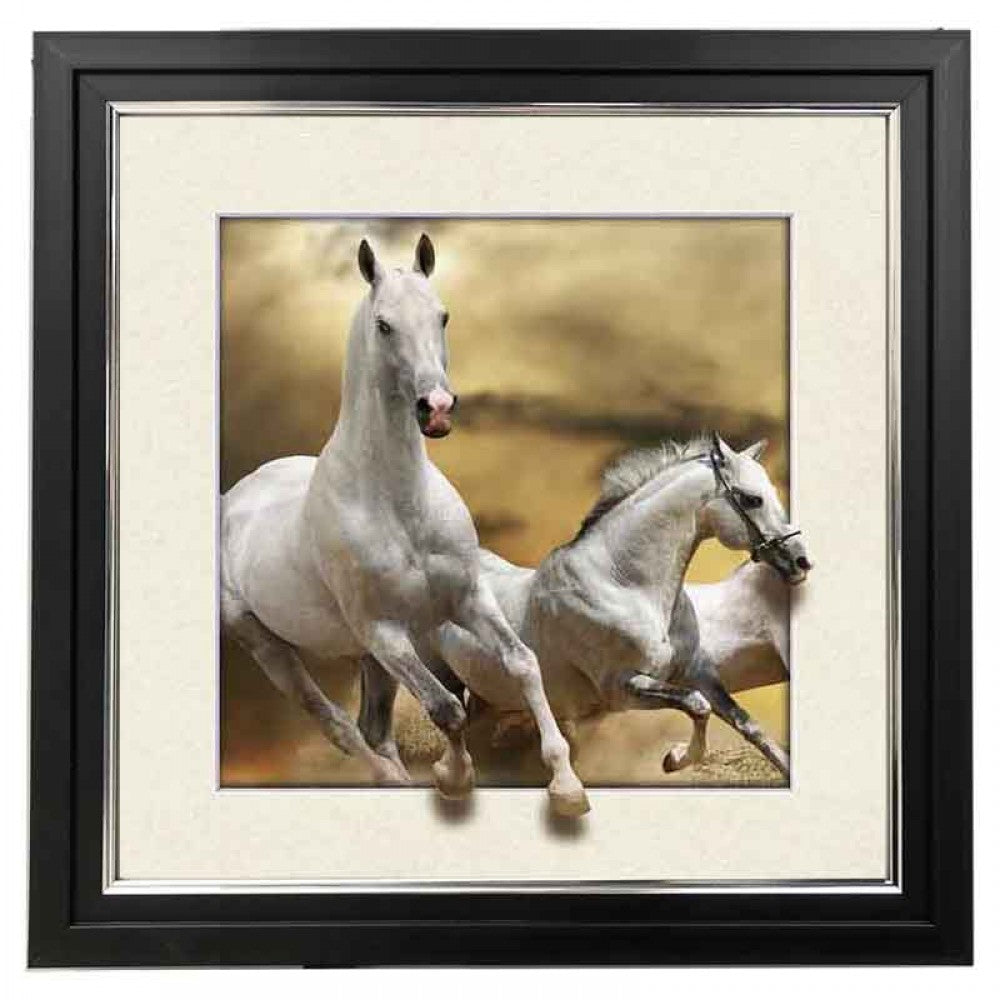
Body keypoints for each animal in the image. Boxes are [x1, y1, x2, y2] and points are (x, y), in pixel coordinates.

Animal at [221, 234, 588, 816]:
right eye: (384, 325)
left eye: (443, 315)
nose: (435, 408)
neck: (399, 505)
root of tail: (232, 499)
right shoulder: (387, 631)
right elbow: (447, 708)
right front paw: (455, 776)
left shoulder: (466, 599)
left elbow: (523, 663)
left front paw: (567, 785)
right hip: (269, 646)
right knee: (338, 725)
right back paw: (392, 778)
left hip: (367, 658)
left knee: (373, 727)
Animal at [413, 434, 811, 777]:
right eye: (751, 499)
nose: (800, 562)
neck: (624, 586)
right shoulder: (622, 689)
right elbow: (698, 705)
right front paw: (674, 759)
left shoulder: (697, 672)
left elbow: (746, 725)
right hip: (443, 676)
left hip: (484, 692)